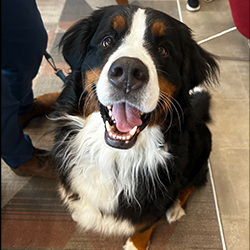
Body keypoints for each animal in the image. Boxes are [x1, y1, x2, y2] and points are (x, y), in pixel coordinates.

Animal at [52, 4, 219, 250]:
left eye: (163, 50)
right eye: (107, 41)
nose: (129, 72)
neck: (116, 157)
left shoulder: (156, 201)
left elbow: (146, 224)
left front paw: (136, 244)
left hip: (202, 148)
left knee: (192, 183)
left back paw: (176, 208)